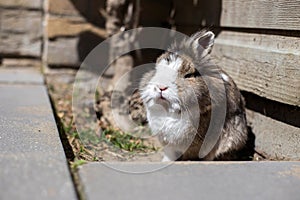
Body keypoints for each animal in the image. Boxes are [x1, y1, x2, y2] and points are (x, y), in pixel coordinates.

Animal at [139, 30, 247, 162]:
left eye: (188, 75)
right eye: (156, 70)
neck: (170, 111)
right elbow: (170, 153)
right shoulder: (169, 143)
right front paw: (165, 161)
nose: (161, 87)